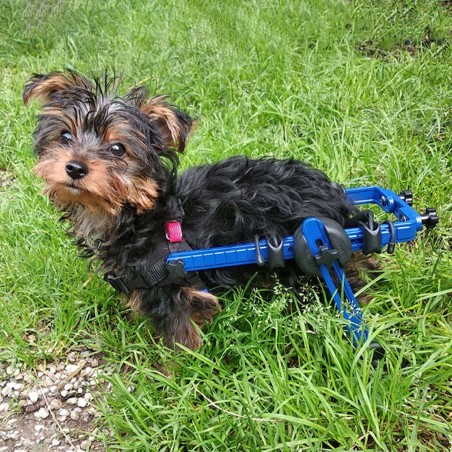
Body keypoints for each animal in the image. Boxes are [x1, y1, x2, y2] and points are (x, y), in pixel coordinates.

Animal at [23, 69, 366, 350]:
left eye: (118, 149)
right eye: (65, 135)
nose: (75, 167)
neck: (139, 215)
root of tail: (335, 197)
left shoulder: (177, 291)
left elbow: (184, 338)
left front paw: (177, 371)